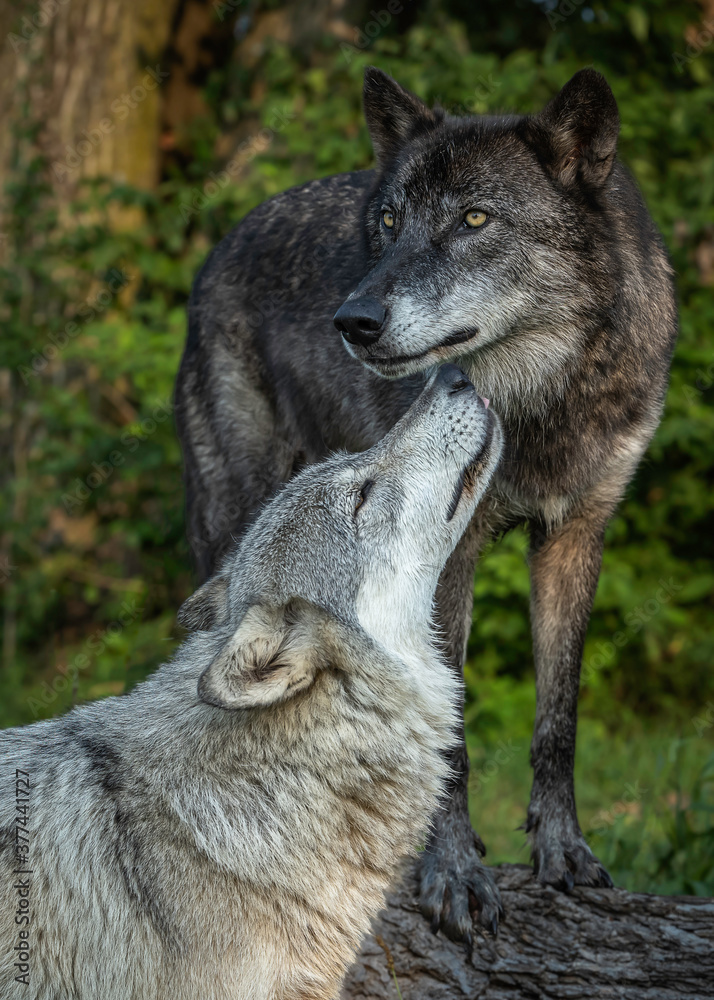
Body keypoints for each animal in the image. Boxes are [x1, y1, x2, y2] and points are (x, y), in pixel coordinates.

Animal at [175, 68, 676, 936]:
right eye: (388, 221)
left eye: (474, 219)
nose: (353, 321)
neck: (538, 403)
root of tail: (225, 241)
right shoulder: (448, 554)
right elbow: (455, 731)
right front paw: (451, 871)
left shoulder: (576, 535)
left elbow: (559, 718)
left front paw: (563, 853)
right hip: (234, 521)